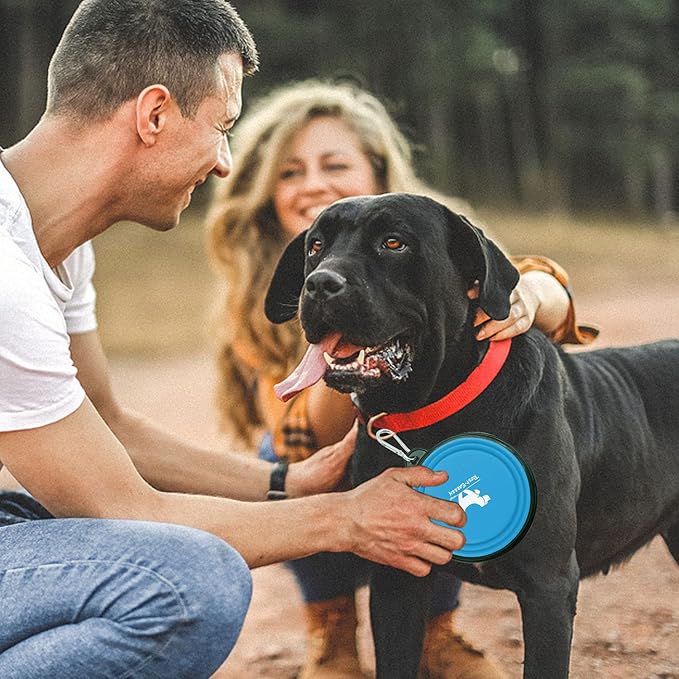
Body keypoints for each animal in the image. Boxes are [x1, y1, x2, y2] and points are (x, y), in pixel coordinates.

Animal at [264, 194, 679, 676]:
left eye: (394, 242)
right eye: (316, 246)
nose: (319, 284)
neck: (432, 415)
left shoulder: (549, 587)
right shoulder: (396, 577)